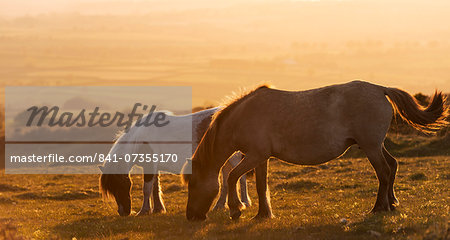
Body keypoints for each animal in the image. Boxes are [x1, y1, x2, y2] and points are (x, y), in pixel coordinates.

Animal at [99, 108, 253, 217]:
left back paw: (244, 202)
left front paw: (144, 211)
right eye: (111, 189)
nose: (123, 212)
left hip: (233, 159)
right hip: (224, 160)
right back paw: (219, 206)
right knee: (226, 181)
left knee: (241, 177)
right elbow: (155, 188)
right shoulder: (154, 166)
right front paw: (158, 209)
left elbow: (147, 189)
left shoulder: (150, 165)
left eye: (120, 186)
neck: (140, 139)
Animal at [181, 81, 448, 221]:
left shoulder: (255, 156)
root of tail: (379, 89)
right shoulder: (260, 158)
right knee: (392, 166)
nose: (192, 216)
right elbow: (260, 185)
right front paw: (263, 214)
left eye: (193, 185)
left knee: (383, 172)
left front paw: (236, 210)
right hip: (375, 146)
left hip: (371, 148)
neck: (244, 115)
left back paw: (378, 208)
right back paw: (392, 203)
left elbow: (233, 177)